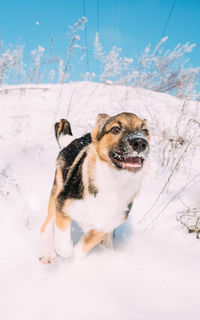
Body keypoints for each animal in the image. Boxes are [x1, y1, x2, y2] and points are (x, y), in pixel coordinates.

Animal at [39, 111, 150, 264]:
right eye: (116, 129)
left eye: (145, 131)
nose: (140, 142)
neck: (113, 183)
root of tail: (76, 140)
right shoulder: (62, 204)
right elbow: (64, 247)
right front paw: (64, 252)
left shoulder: (103, 227)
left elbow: (82, 248)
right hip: (57, 189)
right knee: (46, 225)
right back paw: (48, 252)